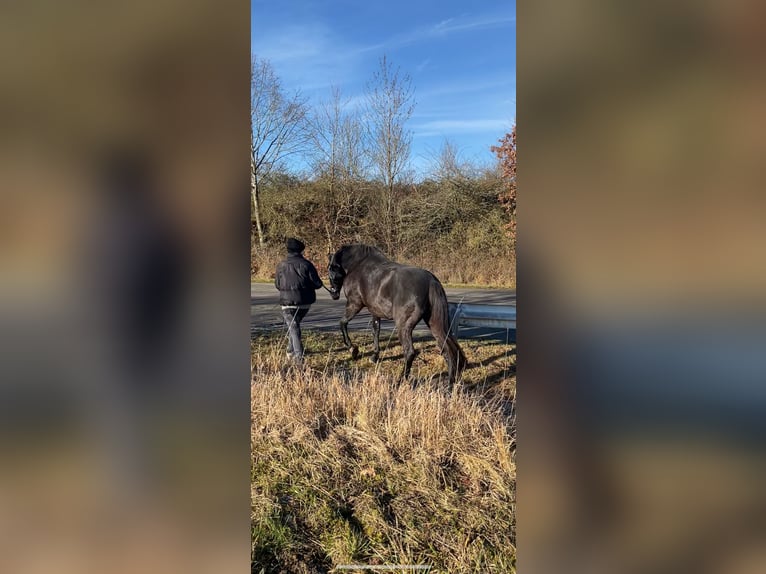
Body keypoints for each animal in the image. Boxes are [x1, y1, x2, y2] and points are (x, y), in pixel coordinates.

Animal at [326, 245, 464, 384]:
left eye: (331, 269)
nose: (333, 294)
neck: (358, 265)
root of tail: (430, 281)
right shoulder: (375, 311)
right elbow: (375, 331)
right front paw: (374, 356)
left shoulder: (354, 304)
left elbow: (342, 323)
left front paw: (353, 350)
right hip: (434, 323)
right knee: (448, 348)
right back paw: (450, 381)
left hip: (403, 326)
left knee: (410, 352)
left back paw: (401, 379)